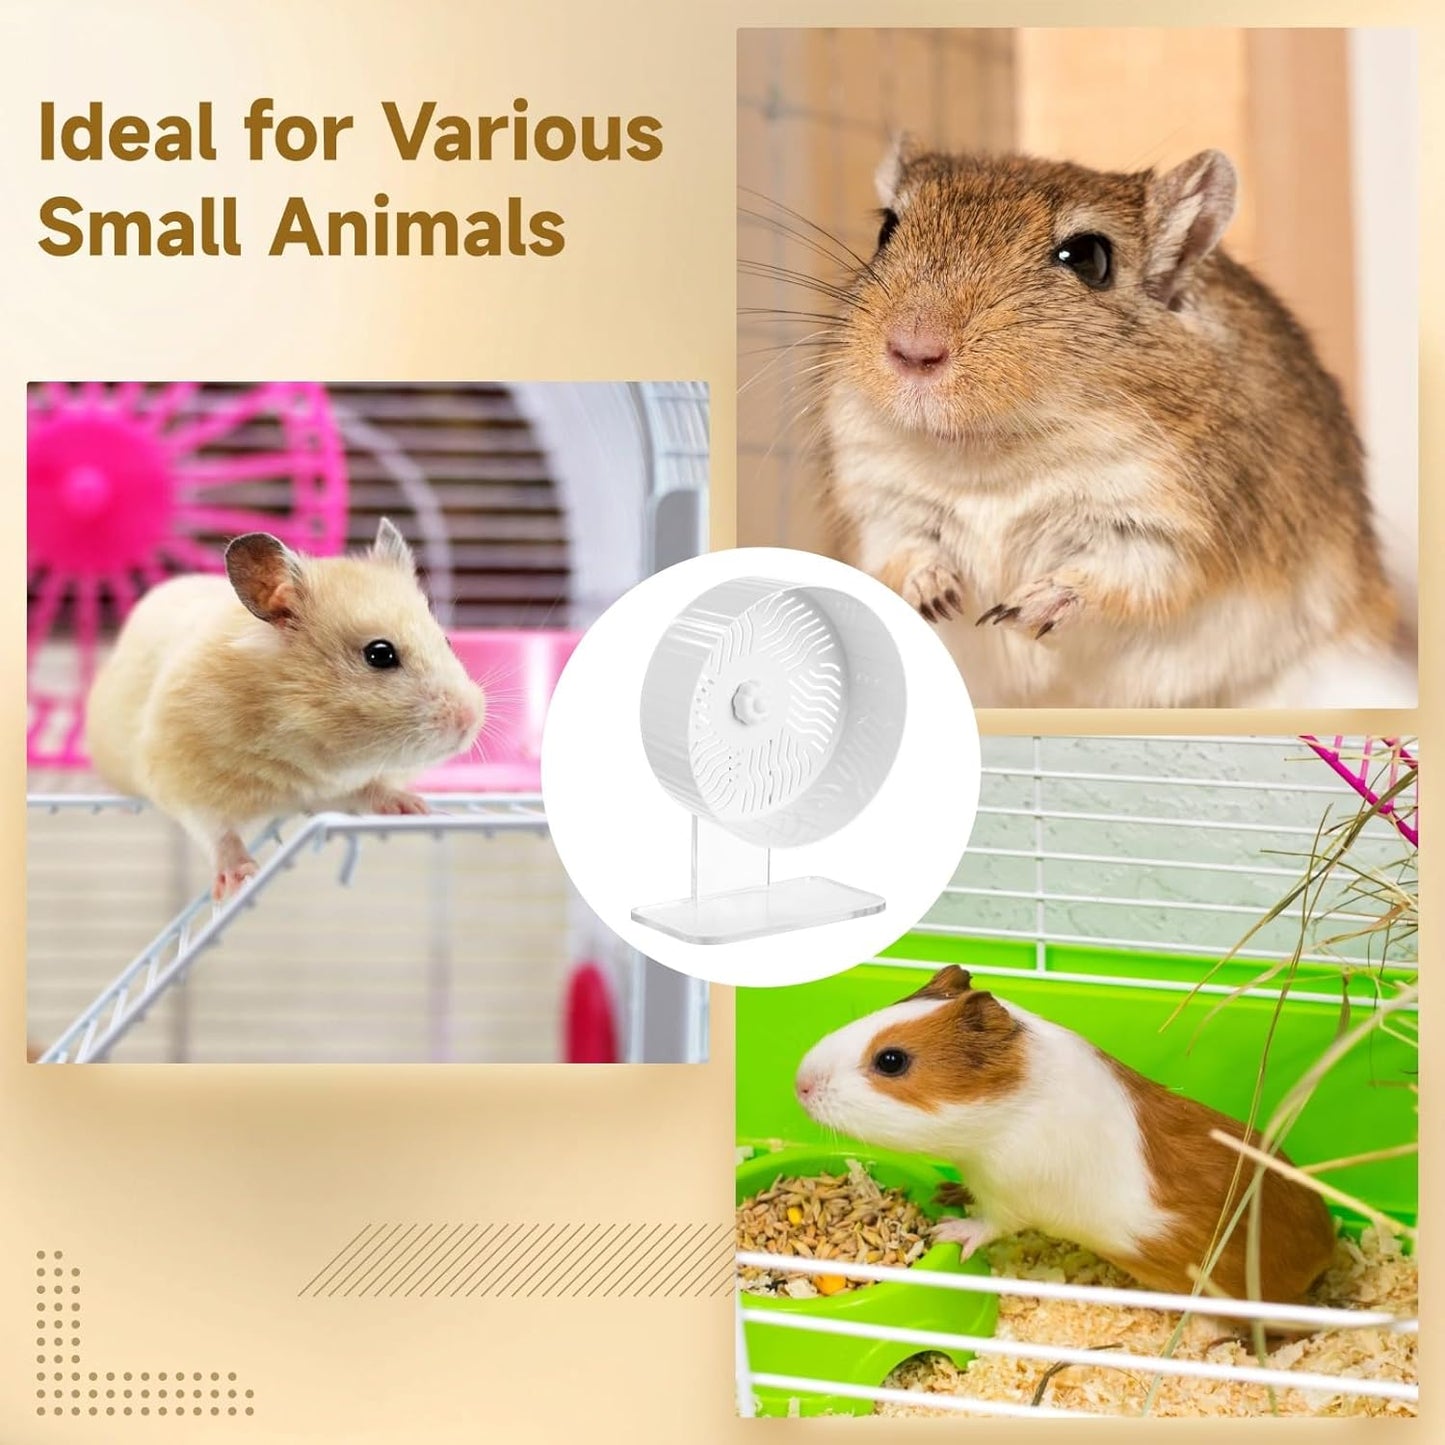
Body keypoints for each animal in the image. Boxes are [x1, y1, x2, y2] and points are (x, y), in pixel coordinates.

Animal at [84, 518, 486, 901]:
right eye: (380, 654)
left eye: (447, 641)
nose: (470, 720)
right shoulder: (181, 775)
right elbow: (216, 831)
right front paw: (240, 878)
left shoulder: (335, 788)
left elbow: (371, 790)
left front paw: (417, 807)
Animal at [794, 966, 1336, 1303]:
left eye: (891, 1060)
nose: (799, 1083)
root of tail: (1328, 1245)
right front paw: (949, 1193)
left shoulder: (1012, 1194)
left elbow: (990, 1224)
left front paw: (948, 1231)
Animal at [818, 143, 1410, 707]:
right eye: (886, 229)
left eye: (1089, 258)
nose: (913, 349)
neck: (989, 451)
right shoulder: (880, 503)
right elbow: (903, 550)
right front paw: (940, 597)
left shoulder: (1167, 529)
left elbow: (1116, 575)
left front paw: (1021, 609)